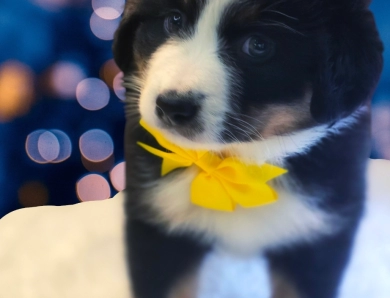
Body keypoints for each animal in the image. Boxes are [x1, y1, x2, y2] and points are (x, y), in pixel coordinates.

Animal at [112, 1, 384, 296]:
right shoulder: (156, 226)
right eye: (174, 20)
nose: (172, 107)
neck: (240, 162)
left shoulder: (317, 236)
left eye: (258, 45)